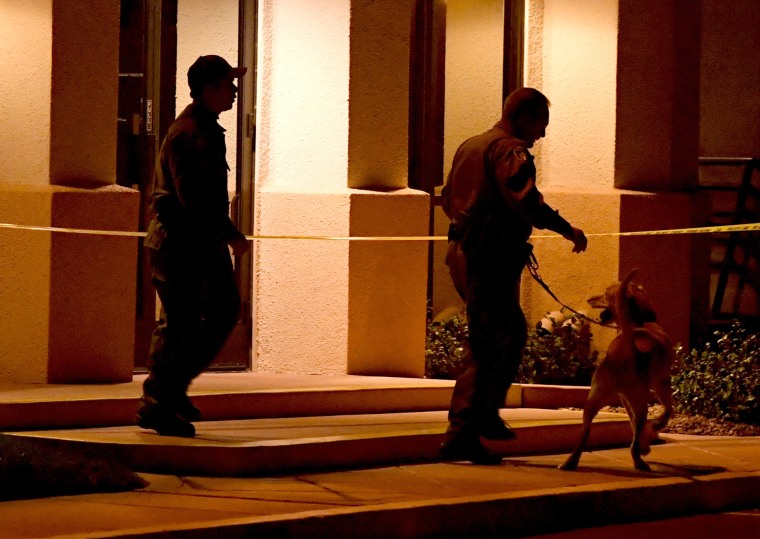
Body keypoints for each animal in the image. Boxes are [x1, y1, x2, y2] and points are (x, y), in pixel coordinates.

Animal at [560, 270, 676, 472]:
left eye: (606, 294)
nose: (590, 299)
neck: (640, 323)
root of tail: (628, 347)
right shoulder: (662, 382)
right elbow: (668, 409)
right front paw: (656, 427)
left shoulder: (624, 397)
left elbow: (632, 422)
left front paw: (645, 444)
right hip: (641, 399)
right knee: (640, 423)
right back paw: (640, 460)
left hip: (594, 401)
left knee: (585, 433)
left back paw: (570, 462)